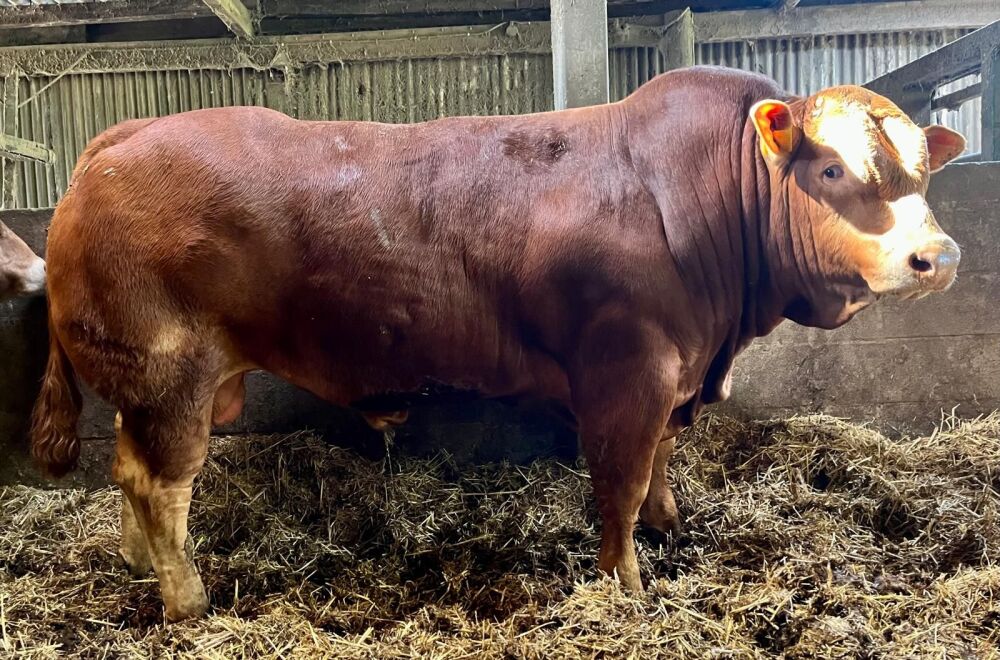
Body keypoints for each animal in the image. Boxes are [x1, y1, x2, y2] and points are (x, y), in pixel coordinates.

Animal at [31, 66, 966, 621]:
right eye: (833, 170)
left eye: (925, 170)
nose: (940, 256)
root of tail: (115, 143)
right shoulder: (626, 374)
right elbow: (620, 483)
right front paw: (626, 585)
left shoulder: (674, 374)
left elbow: (660, 467)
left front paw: (670, 529)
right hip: (169, 376)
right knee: (158, 482)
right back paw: (187, 597)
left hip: (149, 388)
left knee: (127, 471)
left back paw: (137, 563)